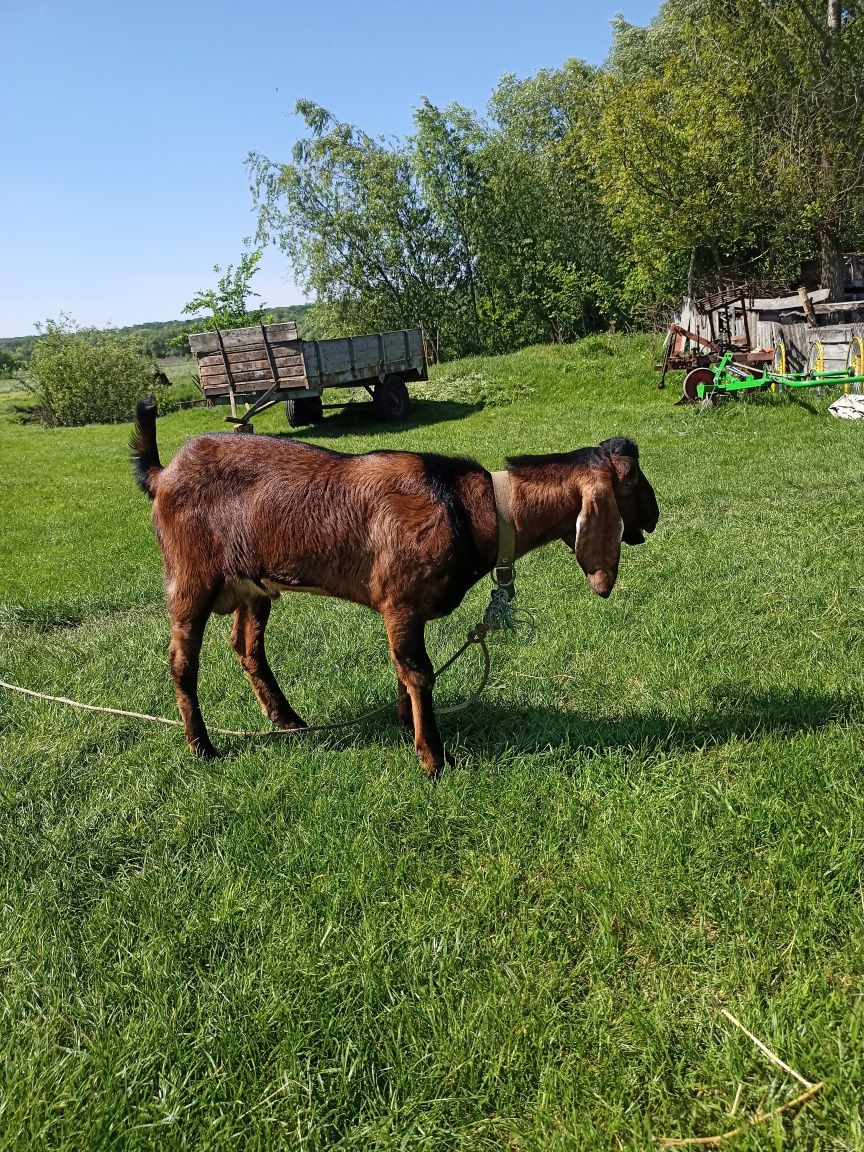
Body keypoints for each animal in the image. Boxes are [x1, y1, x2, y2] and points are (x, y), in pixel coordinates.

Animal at [130, 400, 654, 778]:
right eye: (631, 481)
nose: (655, 516)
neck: (473, 508)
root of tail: (164, 474)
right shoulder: (399, 600)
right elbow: (419, 672)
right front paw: (434, 759)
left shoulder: (406, 612)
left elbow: (404, 669)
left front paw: (407, 724)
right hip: (189, 580)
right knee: (182, 662)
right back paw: (202, 747)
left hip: (253, 584)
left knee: (247, 646)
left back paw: (288, 722)